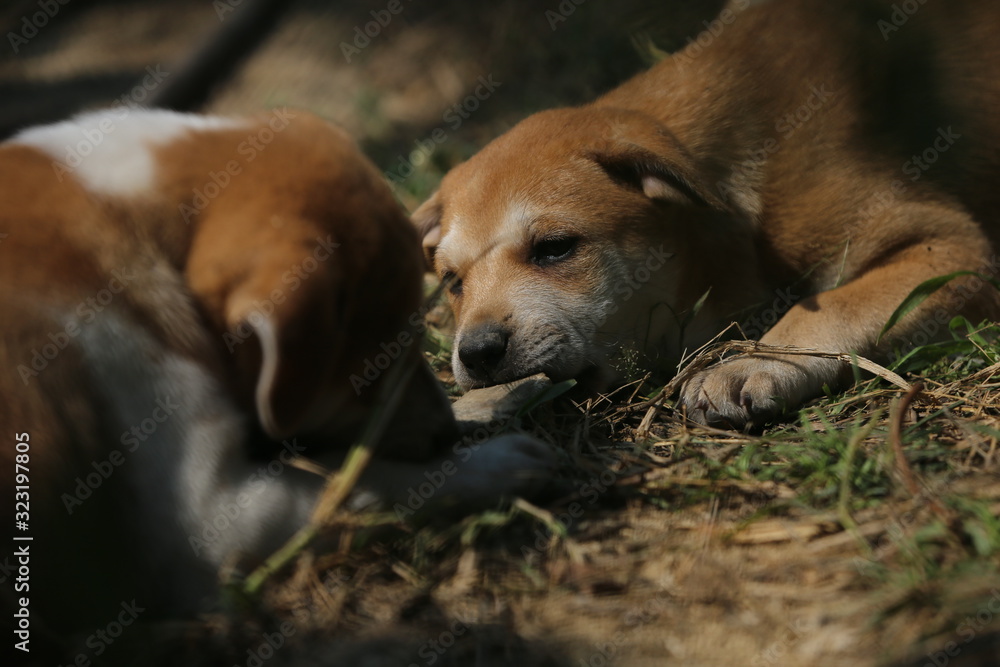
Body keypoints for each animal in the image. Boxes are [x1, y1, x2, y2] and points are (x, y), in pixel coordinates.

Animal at [0, 109, 552, 648]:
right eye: (375, 367)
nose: (444, 434)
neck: (127, 217)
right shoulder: (207, 522)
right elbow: (367, 483)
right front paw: (498, 461)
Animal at [412, 0, 1000, 428]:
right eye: (452, 282)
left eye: (555, 247)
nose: (477, 353)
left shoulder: (950, 244)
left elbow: (833, 305)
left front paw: (751, 362)